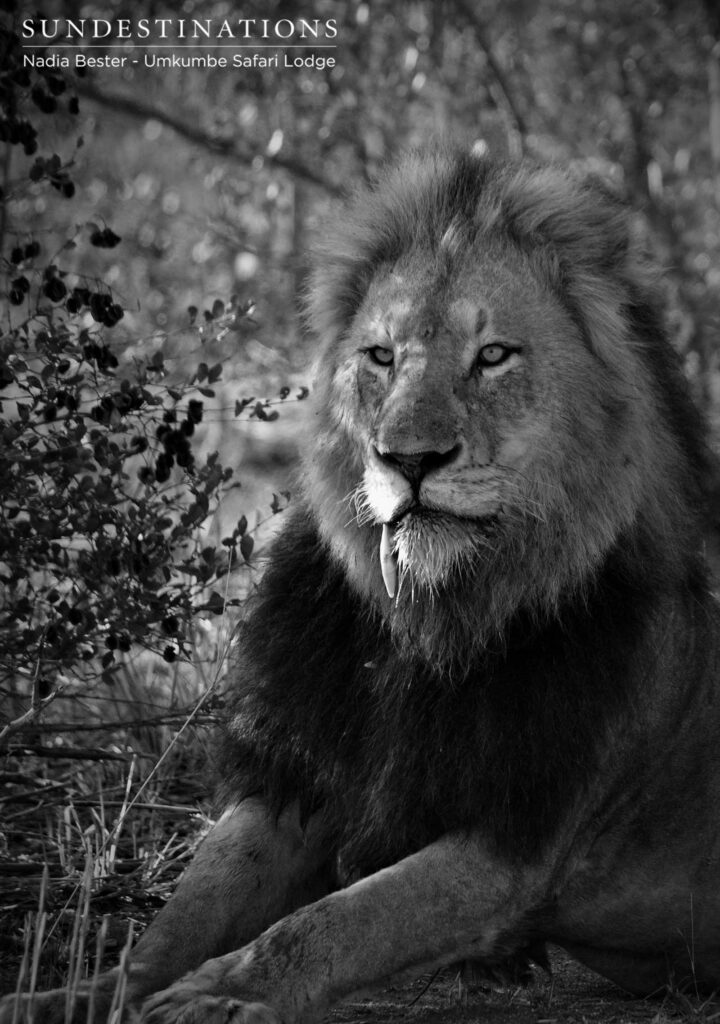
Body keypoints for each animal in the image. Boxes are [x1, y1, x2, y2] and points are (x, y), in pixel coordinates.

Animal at [4, 148, 720, 1024]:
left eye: (494, 355)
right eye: (380, 357)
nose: (409, 459)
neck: (428, 622)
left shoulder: (515, 847)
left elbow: (329, 926)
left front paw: (214, 998)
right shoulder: (297, 780)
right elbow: (172, 926)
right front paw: (71, 996)